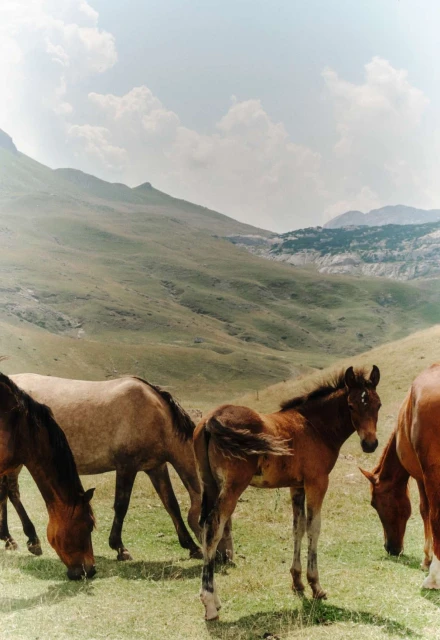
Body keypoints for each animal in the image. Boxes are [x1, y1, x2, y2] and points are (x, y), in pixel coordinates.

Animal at [2, 373, 202, 561]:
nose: (215, 558)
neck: (155, 415)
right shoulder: (126, 467)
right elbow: (121, 505)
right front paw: (120, 548)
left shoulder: (156, 467)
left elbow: (171, 504)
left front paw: (192, 546)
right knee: (12, 493)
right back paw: (29, 539)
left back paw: (9, 539)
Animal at [194, 365, 381, 620]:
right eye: (351, 405)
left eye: (378, 405)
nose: (370, 444)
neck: (315, 426)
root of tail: (212, 419)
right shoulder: (317, 482)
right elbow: (313, 528)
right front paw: (316, 585)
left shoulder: (297, 486)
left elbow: (297, 528)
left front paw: (297, 581)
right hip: (232, 487)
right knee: (214, 528)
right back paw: (210, 603)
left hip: (210, 484)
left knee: (204, 526)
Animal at [361, 363, 440, 590]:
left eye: (375, 504)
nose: (390, 548)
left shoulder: (421, 476)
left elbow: (425, 511)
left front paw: (426, 560)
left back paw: (433, 577)